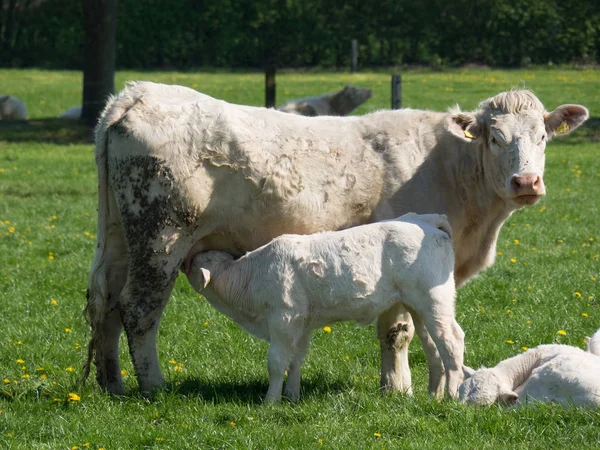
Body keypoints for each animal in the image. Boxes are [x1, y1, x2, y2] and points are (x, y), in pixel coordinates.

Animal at [188, 213, 464, 402]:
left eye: (192, 264)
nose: (184, 262)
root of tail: (426, 220)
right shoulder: (302, 324)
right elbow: (295, 360)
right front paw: (292, 397)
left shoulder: (283, 318)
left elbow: (276, 362)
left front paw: (270, 401)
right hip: (418, 306)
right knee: (434, 348)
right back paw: (433, 395)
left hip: (434, 300)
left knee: (452, 342)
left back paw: (451, 397)